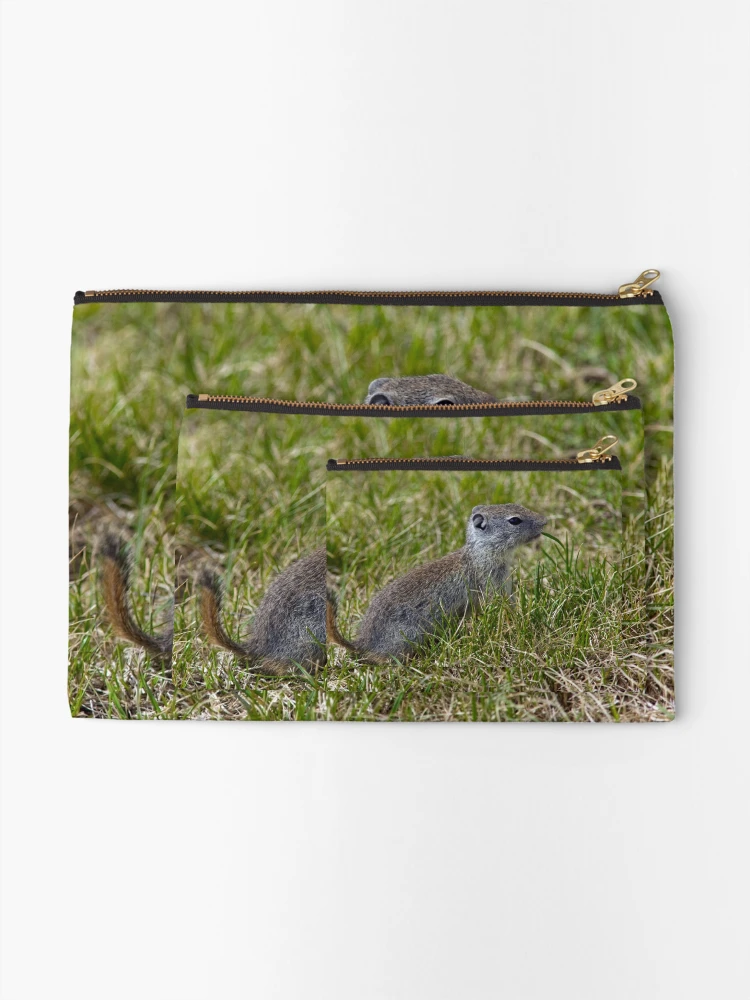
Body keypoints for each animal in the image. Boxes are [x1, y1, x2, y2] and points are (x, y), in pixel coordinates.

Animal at [327, 504, 546, 664]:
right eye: (514, 520)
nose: (545, 521)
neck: (480, 553)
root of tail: (362, 642)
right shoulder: (493, 584)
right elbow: (502, 607)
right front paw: (518, 622)